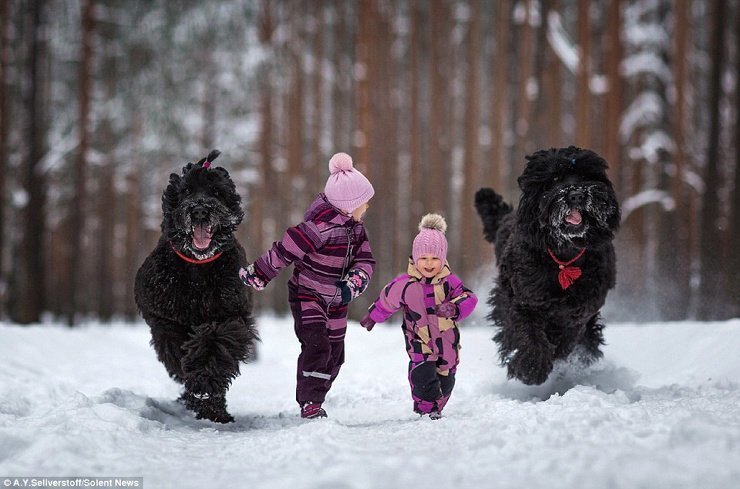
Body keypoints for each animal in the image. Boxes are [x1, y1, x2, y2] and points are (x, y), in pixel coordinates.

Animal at [134, 151, 258, 422]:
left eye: (216, 191)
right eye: (186, 191)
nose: (200, 210)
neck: (197, 269)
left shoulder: (230, 315)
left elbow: (215, 341)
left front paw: (205, 383)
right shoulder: (164, 318)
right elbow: (177, 350)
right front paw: (197, 390)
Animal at [474, 146, 620, 386]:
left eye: (585, 175)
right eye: (554, 179)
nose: (577, 195)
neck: (563, 257)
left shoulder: (581, 309)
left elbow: (569, 332)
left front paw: (554, 356)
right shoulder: (523, 301)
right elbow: (527, 332)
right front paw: (532, 367)